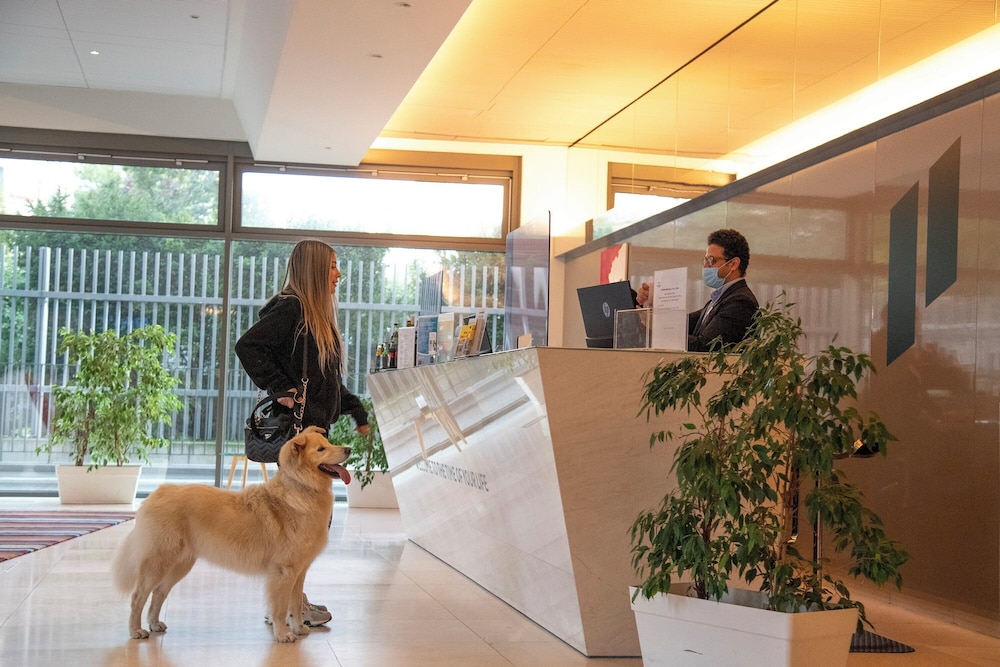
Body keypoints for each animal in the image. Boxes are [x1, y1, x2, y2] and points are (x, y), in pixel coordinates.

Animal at [111, 426, 351, 643]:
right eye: (321, 449)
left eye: (328, 443)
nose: (348, 449)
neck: (301, 489)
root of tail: (157, 493)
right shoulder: (284, 572)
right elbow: (281, 608)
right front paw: (283, 635)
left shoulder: (299, 572)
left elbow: (295, 603)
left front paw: (299, 628)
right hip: (159, 562)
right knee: (138, 596)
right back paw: (136, 631)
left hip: (179, 565)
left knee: (158, 593)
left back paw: (154, 624)